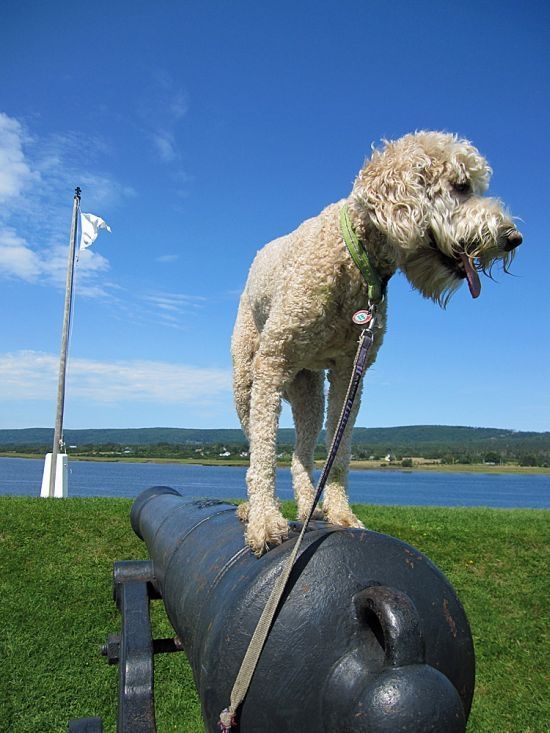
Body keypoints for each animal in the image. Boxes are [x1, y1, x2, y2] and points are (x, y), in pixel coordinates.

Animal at [231, 132, 524, 556]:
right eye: (461, 186)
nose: (513, 238)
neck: (356, 258)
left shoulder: (350, 372)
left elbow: (339, 453)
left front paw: (341, 514)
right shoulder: (273, 360)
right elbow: (264, 451)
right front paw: (266, 522)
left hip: (309, 390)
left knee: (302, 452)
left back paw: (307, 507)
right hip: (246, 378)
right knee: (256, 440)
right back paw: (252, 507)